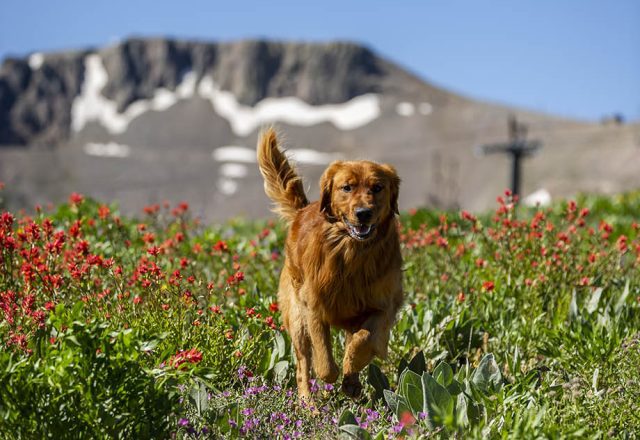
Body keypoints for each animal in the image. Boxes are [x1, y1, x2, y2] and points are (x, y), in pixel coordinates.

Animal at [256, 128, 402, 398]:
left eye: (377, 187)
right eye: (346, 187)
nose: (363, 213)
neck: (352, 253)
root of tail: (302, 210)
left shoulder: (383, 305)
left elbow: (366, 339)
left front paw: (353, 365)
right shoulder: (313, 306)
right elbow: (325, 365)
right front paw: (335, 373)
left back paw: (352, 381)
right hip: (297, 318)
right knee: (303, 365)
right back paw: (308, 403)